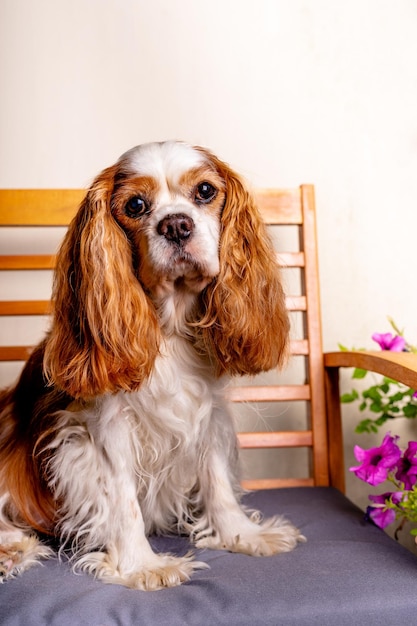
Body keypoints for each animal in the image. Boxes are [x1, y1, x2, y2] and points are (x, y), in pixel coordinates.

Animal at [0, 140, 302, 584]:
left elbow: (217, 481)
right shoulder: (99, 432)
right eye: (136, 205)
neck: (170, 328)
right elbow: (122, 500)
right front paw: (141, 566)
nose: (176, 225)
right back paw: (12, 549)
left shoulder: (207, 411)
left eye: (206, 191)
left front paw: (241, 534)